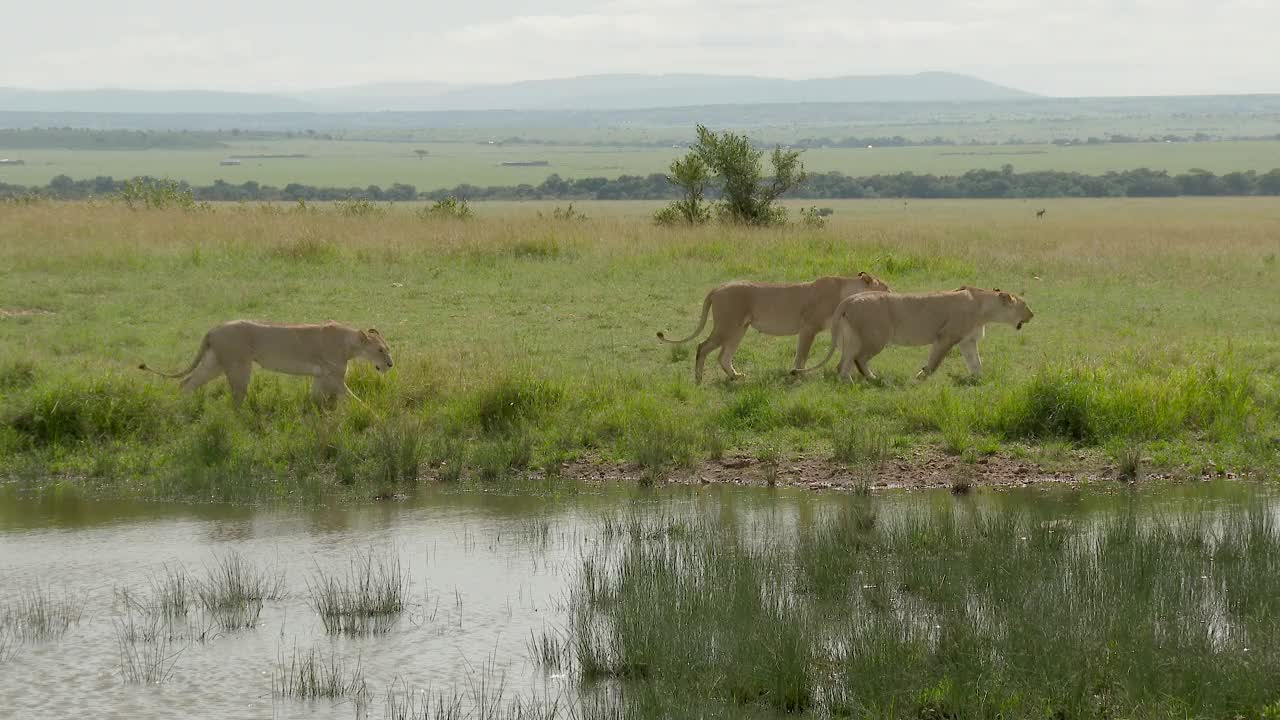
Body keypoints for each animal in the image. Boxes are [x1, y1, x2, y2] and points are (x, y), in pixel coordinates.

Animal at [137, 317, 391, 404]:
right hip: (239, 366)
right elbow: (355, 399)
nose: (390, 364)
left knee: (187, 383)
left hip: (214, 364)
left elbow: (315, 400)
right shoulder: (334, 378)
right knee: (236, 398)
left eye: (387, 349)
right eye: (380, 350)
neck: (350, 343)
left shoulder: (321, 377)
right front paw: (375, 417)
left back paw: (180, 409)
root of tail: (213, 328)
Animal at [660, 270, 890, 381]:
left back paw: (736, 376)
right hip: (727, 326)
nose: (892, 292)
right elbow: (802, 355)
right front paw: (799, 375)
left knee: (723, 356)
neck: (847, 291)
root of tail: (717, 288)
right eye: (886, 287)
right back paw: (698, 379)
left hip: (738, 329)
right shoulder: (808, 327)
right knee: (703, 347)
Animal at [803, 285, 1034, 381]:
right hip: (876, 337)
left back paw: (850, 381)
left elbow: (975, 363)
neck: (983, 308)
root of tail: (849, 299)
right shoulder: (945, 336)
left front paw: (979, 381)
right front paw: (921, 377)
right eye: (1025, 305)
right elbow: (934, 362)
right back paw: (869, 379)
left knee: (843, 362)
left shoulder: (967, 341)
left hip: (852, 337)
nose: (1032, 314)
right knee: (858, 359)